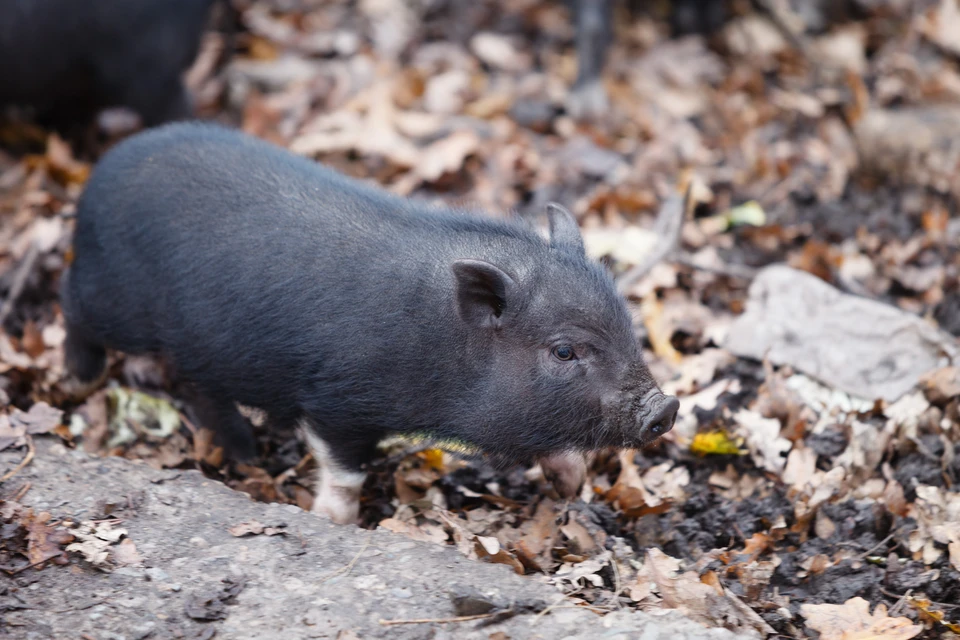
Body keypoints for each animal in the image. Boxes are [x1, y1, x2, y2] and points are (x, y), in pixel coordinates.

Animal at [62, 122, 676, 524]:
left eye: (627, 327)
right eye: (565, 351)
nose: (665, 407)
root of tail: (99, 175)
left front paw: (572, 487)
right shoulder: (334, 400)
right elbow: (345, 471)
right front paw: (333, 522)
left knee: (195, 383)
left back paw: (239, 448)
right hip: (116, 301)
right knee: (74, 304)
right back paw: (80, 377)